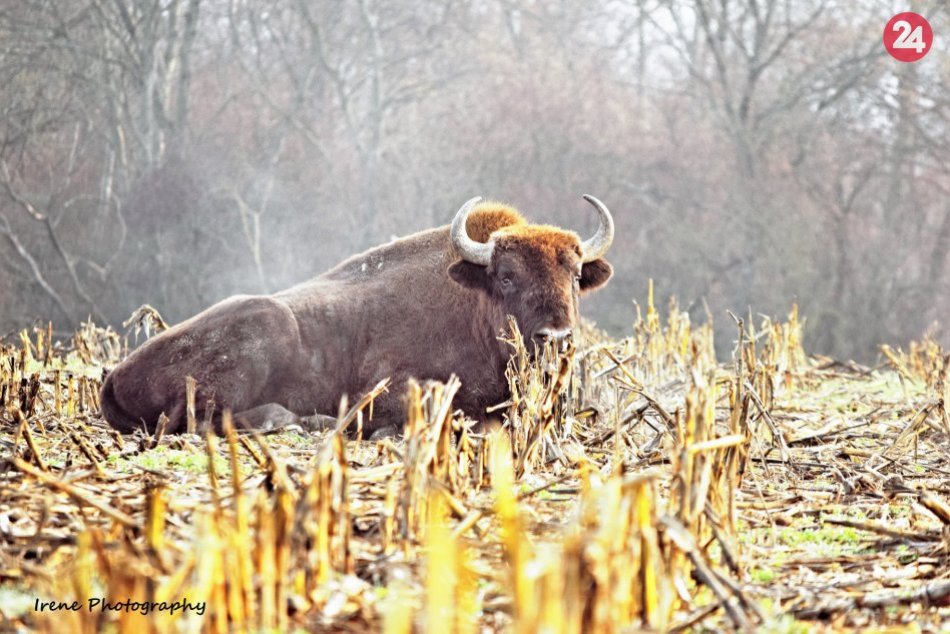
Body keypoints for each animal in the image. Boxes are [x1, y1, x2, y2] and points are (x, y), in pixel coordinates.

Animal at [98, 196, 616, 434]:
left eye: (575, 275)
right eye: (506, 276)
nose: (556, 337)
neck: (472, 300)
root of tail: (114, 374)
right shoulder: (387, 387)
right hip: (262, 329)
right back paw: (299, 421)